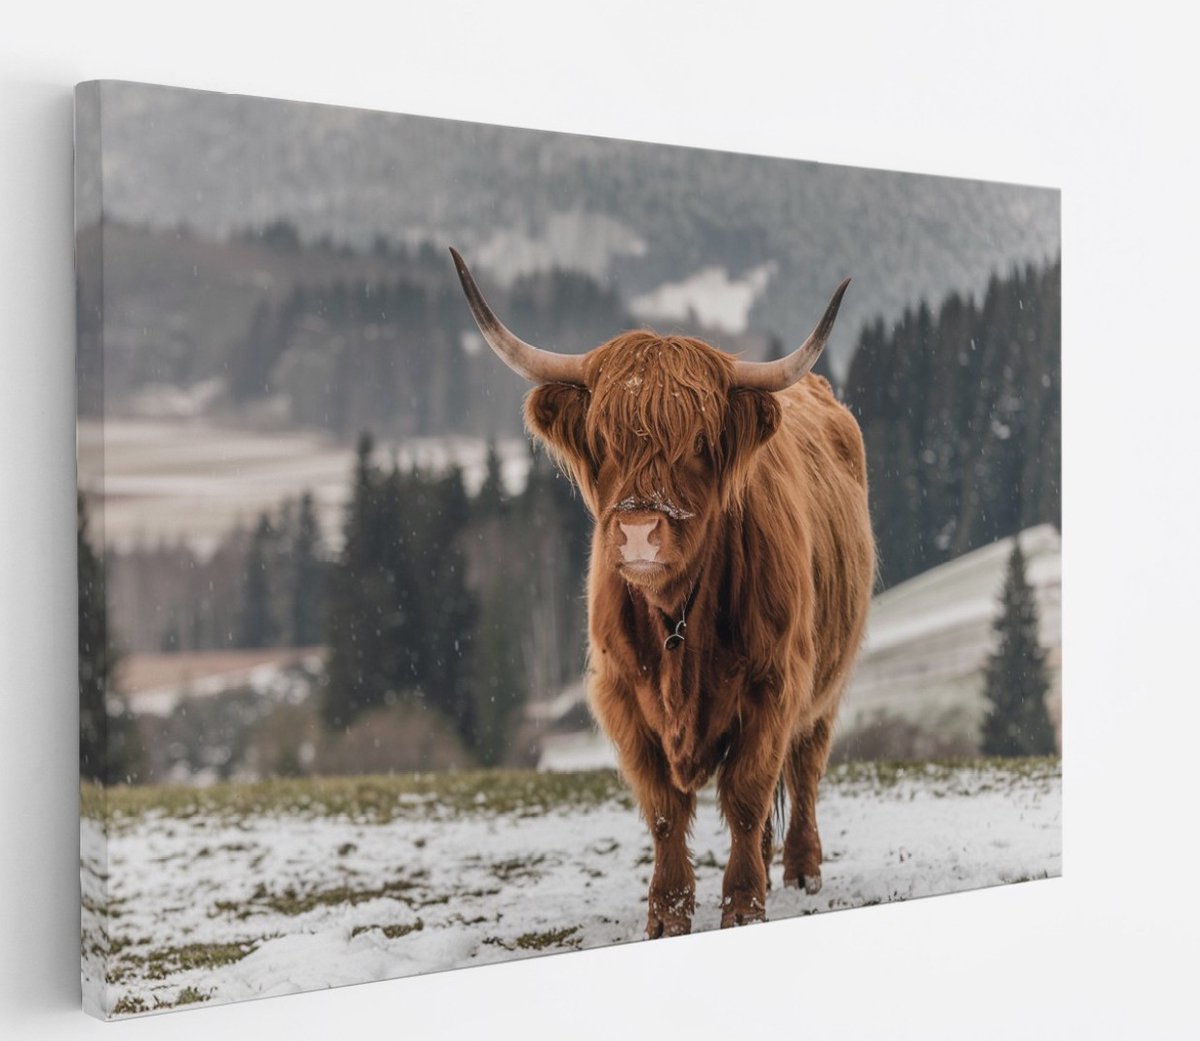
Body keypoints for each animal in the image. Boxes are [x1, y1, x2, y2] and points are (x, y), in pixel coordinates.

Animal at [451, 248, 875, 936]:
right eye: (603, 440)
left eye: (698, 443)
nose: (639, 532)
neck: (677, 616)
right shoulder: (621, 692)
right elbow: (664, 811)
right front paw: (668, 914)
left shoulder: (774, 683)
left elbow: (747, 794)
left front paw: (742, 906)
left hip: (825, 683)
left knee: (805, 766)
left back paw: (801, 870)